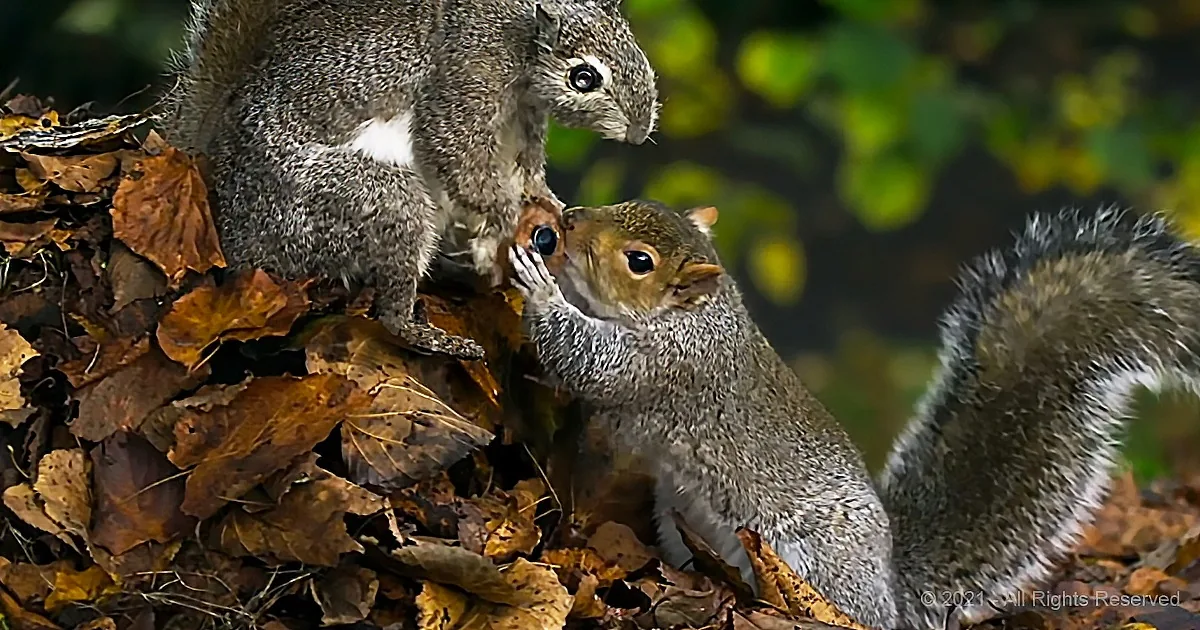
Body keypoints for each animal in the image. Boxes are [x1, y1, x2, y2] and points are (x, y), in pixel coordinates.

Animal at [161, 0, 659, 358]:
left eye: (640, 57)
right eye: (583, 77)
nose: (638, 134)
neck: (519, 40)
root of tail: (239, 243)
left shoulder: (523, 122)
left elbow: (526, 167)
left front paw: (547, 200)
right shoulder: (465, 79)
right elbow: (458, 154)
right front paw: (502, 222)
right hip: (373, 201)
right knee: (391, 312)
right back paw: (433, 337)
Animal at [507, 200, 1200, 630]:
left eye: (639, 261)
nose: (568, 220)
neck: (700, 313)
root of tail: (893, 588)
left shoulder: (672, 365)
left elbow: (597, 363)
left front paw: (539, 284)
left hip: (814, 559)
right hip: (683, 528)